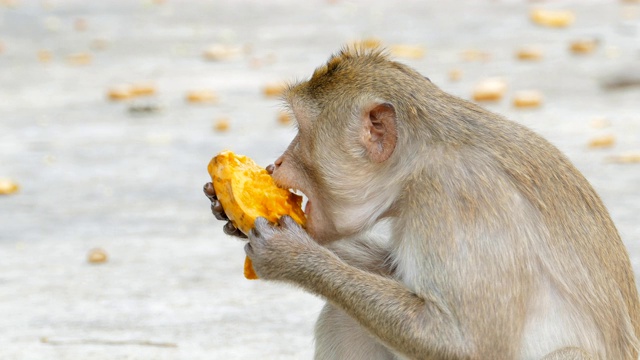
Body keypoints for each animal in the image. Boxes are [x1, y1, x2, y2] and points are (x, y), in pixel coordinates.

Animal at [204, 46, 640, 358]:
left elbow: (465, 342)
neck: (419, 164)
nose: (277, 163)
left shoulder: (455, 199)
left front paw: (292, 257)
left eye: (300, 130)